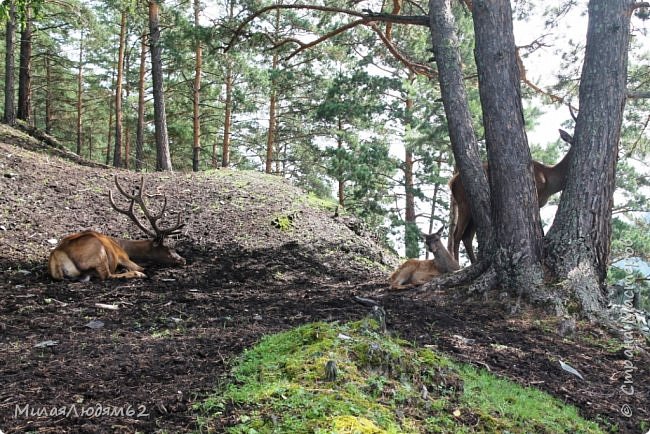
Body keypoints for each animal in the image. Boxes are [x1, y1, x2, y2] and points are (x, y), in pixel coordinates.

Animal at [47, 176, 185, 282]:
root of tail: (57, 255)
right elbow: (141, 267)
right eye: (168, 249)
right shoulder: (122, 257)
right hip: (98, 252)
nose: (183, 260)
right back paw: (137, 274)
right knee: (107, 276)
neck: (125, 247)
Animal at [446, 129, 572, 262]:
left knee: (467, 237)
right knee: (456, 235)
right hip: (463, 203)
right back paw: (456, 263)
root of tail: (452, 183)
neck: (548, 182)